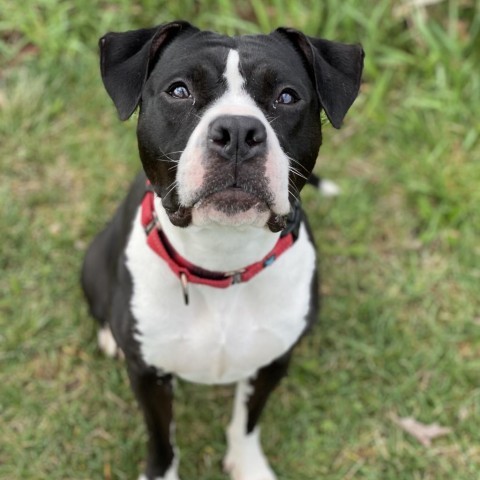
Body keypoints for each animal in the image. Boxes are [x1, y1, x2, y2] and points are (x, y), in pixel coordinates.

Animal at [80, 21, 362, 480]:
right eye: (179, 91)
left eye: (287, 96)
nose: (237, 133)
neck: (222, 259)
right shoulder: (148, 376)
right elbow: (162, 442)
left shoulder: (272, 364)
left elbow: (247, 423)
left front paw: (249, 466)